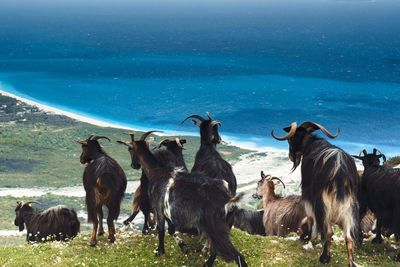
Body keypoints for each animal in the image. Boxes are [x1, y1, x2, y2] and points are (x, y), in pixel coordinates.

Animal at [119, 132, 247, 267]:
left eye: (130, 148)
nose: (134, 165)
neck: (157, 172)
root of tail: (229, 199)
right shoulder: (167, 211)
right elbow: (170, 230)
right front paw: (183, 247)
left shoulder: (158, 207)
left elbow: (161, 230)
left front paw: (160, 252)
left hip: (216, 227)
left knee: (237, 256)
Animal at [272, 122, 360, 266]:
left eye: (291, 139)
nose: (290, 156)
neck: (310, 144)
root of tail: (340, 170)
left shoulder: (308, 193)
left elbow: (310, 215)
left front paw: (306, 235)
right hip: (350, 206)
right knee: (348, 236)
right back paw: (351, 263)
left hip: (323, 203)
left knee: (328, 231)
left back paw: (324, 257)